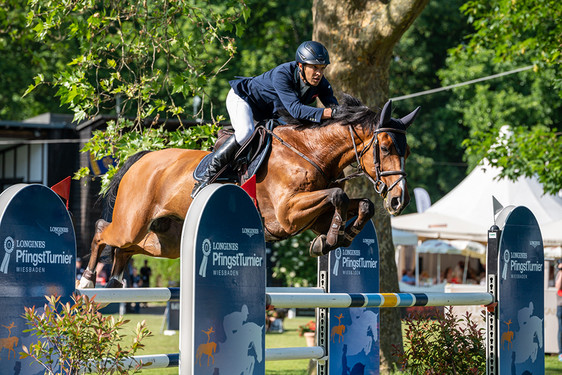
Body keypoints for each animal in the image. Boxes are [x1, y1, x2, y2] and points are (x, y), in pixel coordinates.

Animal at [76, 95, 418, 290]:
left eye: (407, 150)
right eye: (385, 147)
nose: (399, 200)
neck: (310, 153)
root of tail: (141, 159)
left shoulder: (313, 217)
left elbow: (361, 205)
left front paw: (338, 238)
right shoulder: (288, 214)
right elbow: (338, 197)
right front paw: (330, 240)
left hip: (165, 240)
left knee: (126, 248)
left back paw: (115, 281)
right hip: (132, 221)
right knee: (103, 230)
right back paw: (88, 279)